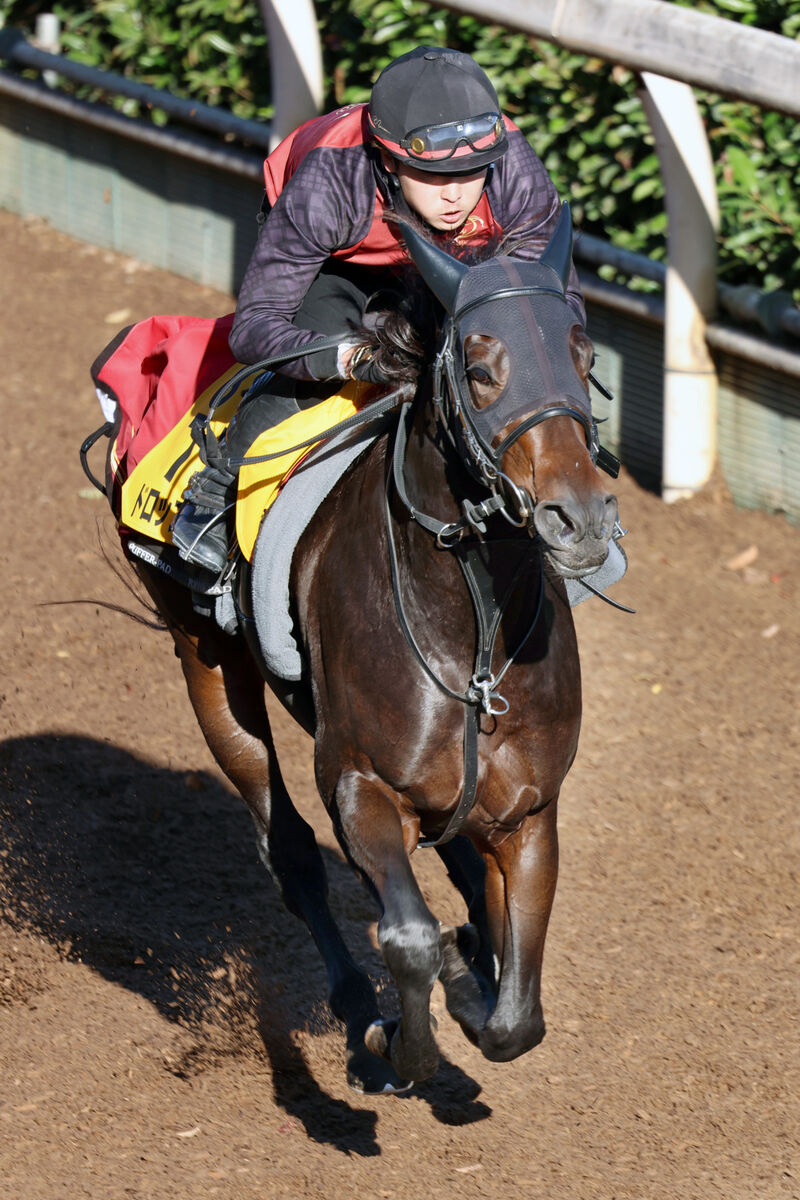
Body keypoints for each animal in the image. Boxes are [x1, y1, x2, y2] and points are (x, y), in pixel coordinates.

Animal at [122, 208, 618, 1099]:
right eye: (481, 370)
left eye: (583, 357)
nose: (582, 518)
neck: (471, 636)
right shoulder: (359, 784)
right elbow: (408, 937)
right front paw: (401, 1038)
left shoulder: (528, 811)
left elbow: (515, 1016)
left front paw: (474, 984)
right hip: (206, 661)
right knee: (292, 852)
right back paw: (360, 1013)